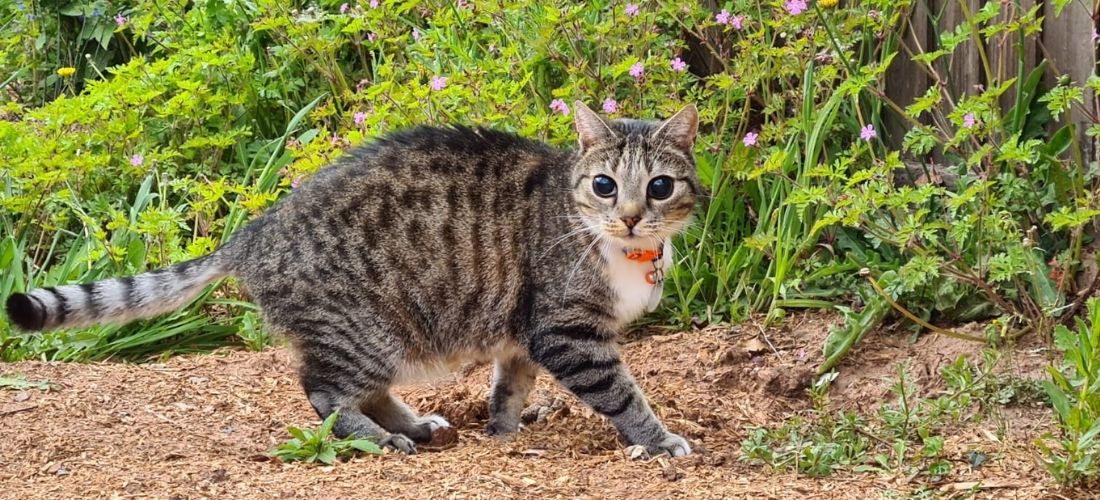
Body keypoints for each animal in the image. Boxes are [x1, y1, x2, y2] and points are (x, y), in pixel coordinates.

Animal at [6, 101, 695, 457]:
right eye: (604, 185)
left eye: (660, 186)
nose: (630, 215)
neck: (619, 248)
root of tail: (257, 228)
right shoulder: (566, 331)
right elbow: (622, 394)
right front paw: (660, 440)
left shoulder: (524, 333)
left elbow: (508, 388)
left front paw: (502, 432)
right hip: (364, 327)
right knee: (325, 391)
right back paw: (380, 437)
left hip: (384, 332)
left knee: (362, 390)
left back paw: (411, 425)